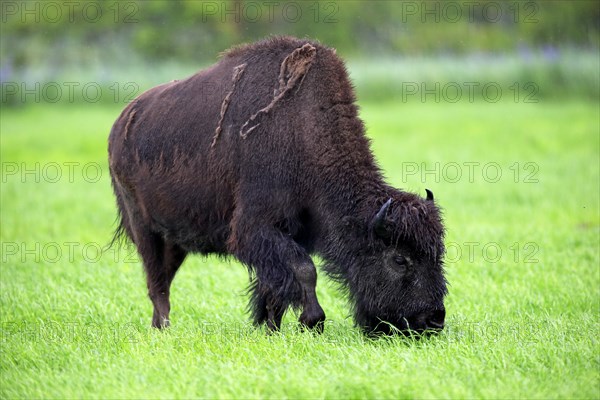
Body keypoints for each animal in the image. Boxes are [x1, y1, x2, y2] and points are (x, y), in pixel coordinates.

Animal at [106, 36, 446, 334]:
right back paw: (164, 329)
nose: (434, 321)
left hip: (175, 241)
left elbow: (274, 284)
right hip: (145, 230)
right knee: (157, 283)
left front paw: (270, 326)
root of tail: (120, 126)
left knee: (164, 278)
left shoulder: (285, 234)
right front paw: (312, 321)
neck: (302, 130)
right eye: (399, 259)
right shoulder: (256, 229)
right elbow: (303, 269)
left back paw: (158, 327)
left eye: (438, 254)